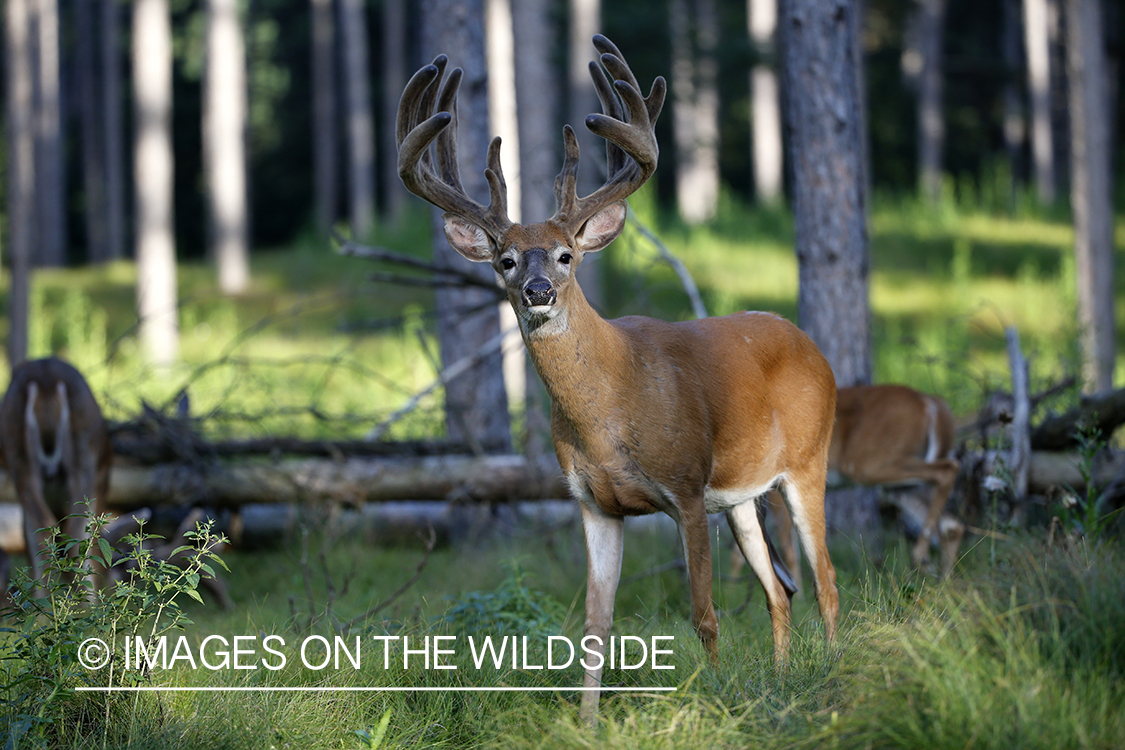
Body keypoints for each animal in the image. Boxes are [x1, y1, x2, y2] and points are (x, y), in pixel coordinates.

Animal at [393, 35, 837, 719]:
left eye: (566, 254)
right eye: (506, 260)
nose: (539, 290)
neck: (612, 408)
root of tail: (811, 346)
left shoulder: (685, 486)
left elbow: (704, 615)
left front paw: (714, 698)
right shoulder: (593, 503)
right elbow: (595, 625)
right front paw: (586, 721)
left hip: (810, 460)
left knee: (827, 582)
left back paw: (839, 672)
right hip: (744, 495)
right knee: (780, 591)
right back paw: (784, 680)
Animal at [738, 384, 967, 584]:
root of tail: (930, 402)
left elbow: (787, 547)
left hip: (870, 464)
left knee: (948, 470)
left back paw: (921, 559)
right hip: (899, 484)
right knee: (952, 524)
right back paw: (941, 580)